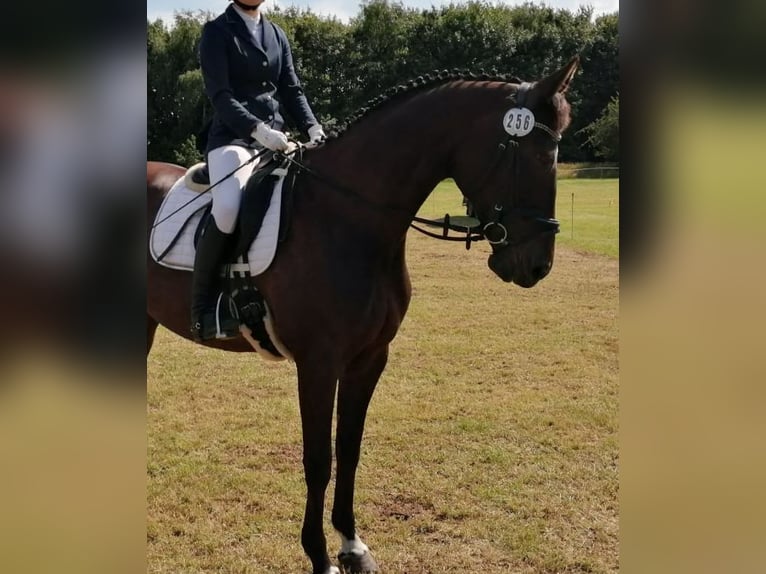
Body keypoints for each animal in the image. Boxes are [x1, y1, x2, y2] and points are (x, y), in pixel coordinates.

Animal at [148, 58, 584, 574]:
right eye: (536, 155)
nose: (537, 267)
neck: (350, 217)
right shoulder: (318, 364)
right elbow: (319, 459)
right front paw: (319, 555)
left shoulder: (370, 358)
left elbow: (350, 449)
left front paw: (352, 544)